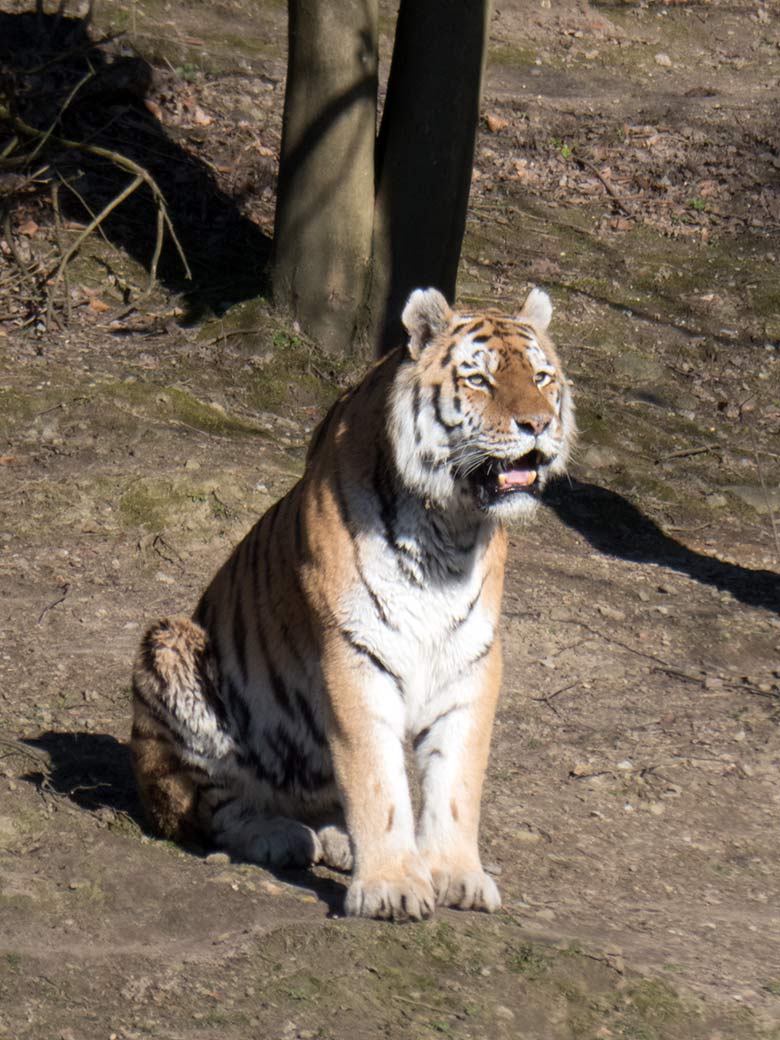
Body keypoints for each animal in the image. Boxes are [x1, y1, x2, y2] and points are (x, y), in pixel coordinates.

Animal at [131, 284, 578, 919]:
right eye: (479, 380)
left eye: (542, 377)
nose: (538, 424)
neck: (450, 528)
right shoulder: (355, 652)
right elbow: (377, 782)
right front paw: (392, 886)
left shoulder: (470, 659)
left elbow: (456, 783)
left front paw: (456, 875)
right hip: (169, 645)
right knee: (210, 808)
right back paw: (282, 836)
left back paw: (335, 838)